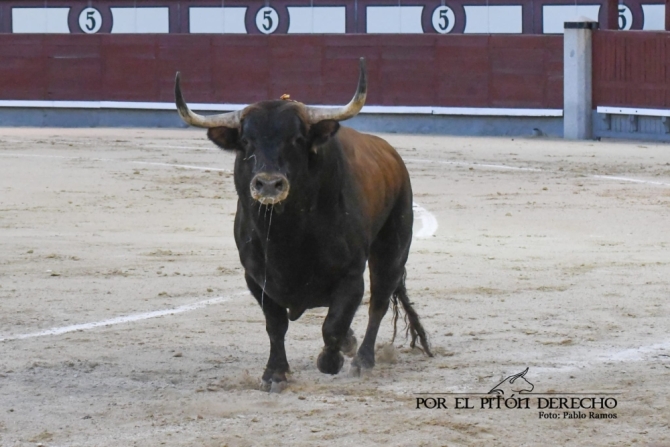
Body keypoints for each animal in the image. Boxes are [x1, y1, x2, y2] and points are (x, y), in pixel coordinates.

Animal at [176, 59, 434, 392]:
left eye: (296, 140)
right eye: (246, 142)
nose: (268, 184)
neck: (288, 234)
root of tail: (393, 157)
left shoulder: (351, 275)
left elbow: (333, 324)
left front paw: (330, 361)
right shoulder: (256, 277)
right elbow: (276, 325)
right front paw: (274, 374)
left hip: (392, 248)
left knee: (378, 302)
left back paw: (362, 360)